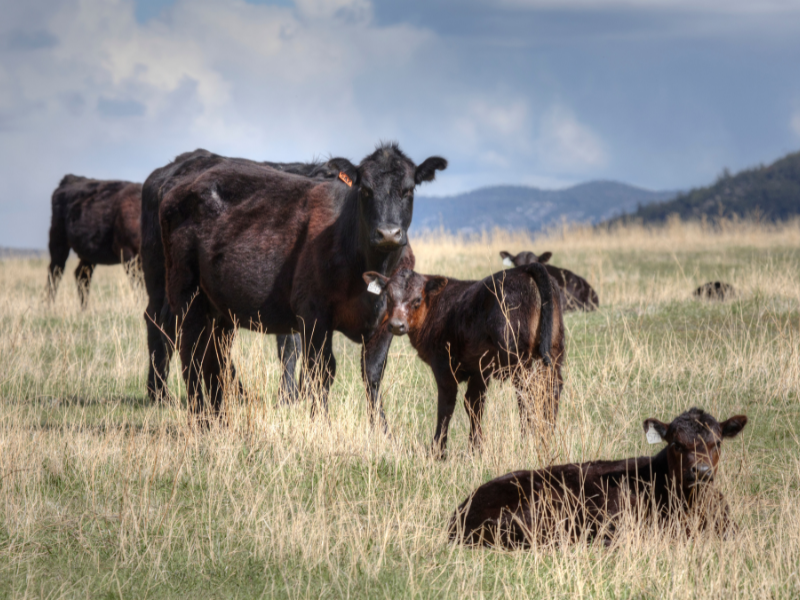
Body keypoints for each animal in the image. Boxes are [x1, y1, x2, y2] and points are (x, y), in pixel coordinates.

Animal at [47, 175, 142, 308]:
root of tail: (70, 178)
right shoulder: (128, 254)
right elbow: (139, 285)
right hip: (58, 240)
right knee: (55, 273)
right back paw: (48, 307)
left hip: (89, 253)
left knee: (81, 275)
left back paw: (84, 310)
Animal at [153, 143, 447, 425]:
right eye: (365, 189)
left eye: (408, 190)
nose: (388, 233)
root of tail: (182, 184)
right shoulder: (314, 313)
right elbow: (321, 371)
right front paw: (321, 424)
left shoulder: (387, 321)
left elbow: (372, 374)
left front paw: (381, 429)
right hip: (186, 293)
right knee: (190, 356)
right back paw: (200, 419)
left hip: (220, 310)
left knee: (214, 360)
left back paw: (219, 420)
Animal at [362, 263, 564, 457]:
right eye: (388, 297)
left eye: (417, 300)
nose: (397, 325)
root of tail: (525, 268)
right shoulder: (480, 369)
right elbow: (474, 404)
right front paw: (476, 449)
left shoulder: (443, 365)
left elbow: (446, 406)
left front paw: (437, 451)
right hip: (554, 351)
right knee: (551, 389)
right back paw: (547, 435)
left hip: (518, 357)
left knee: (529, 393)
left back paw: (527, 439)